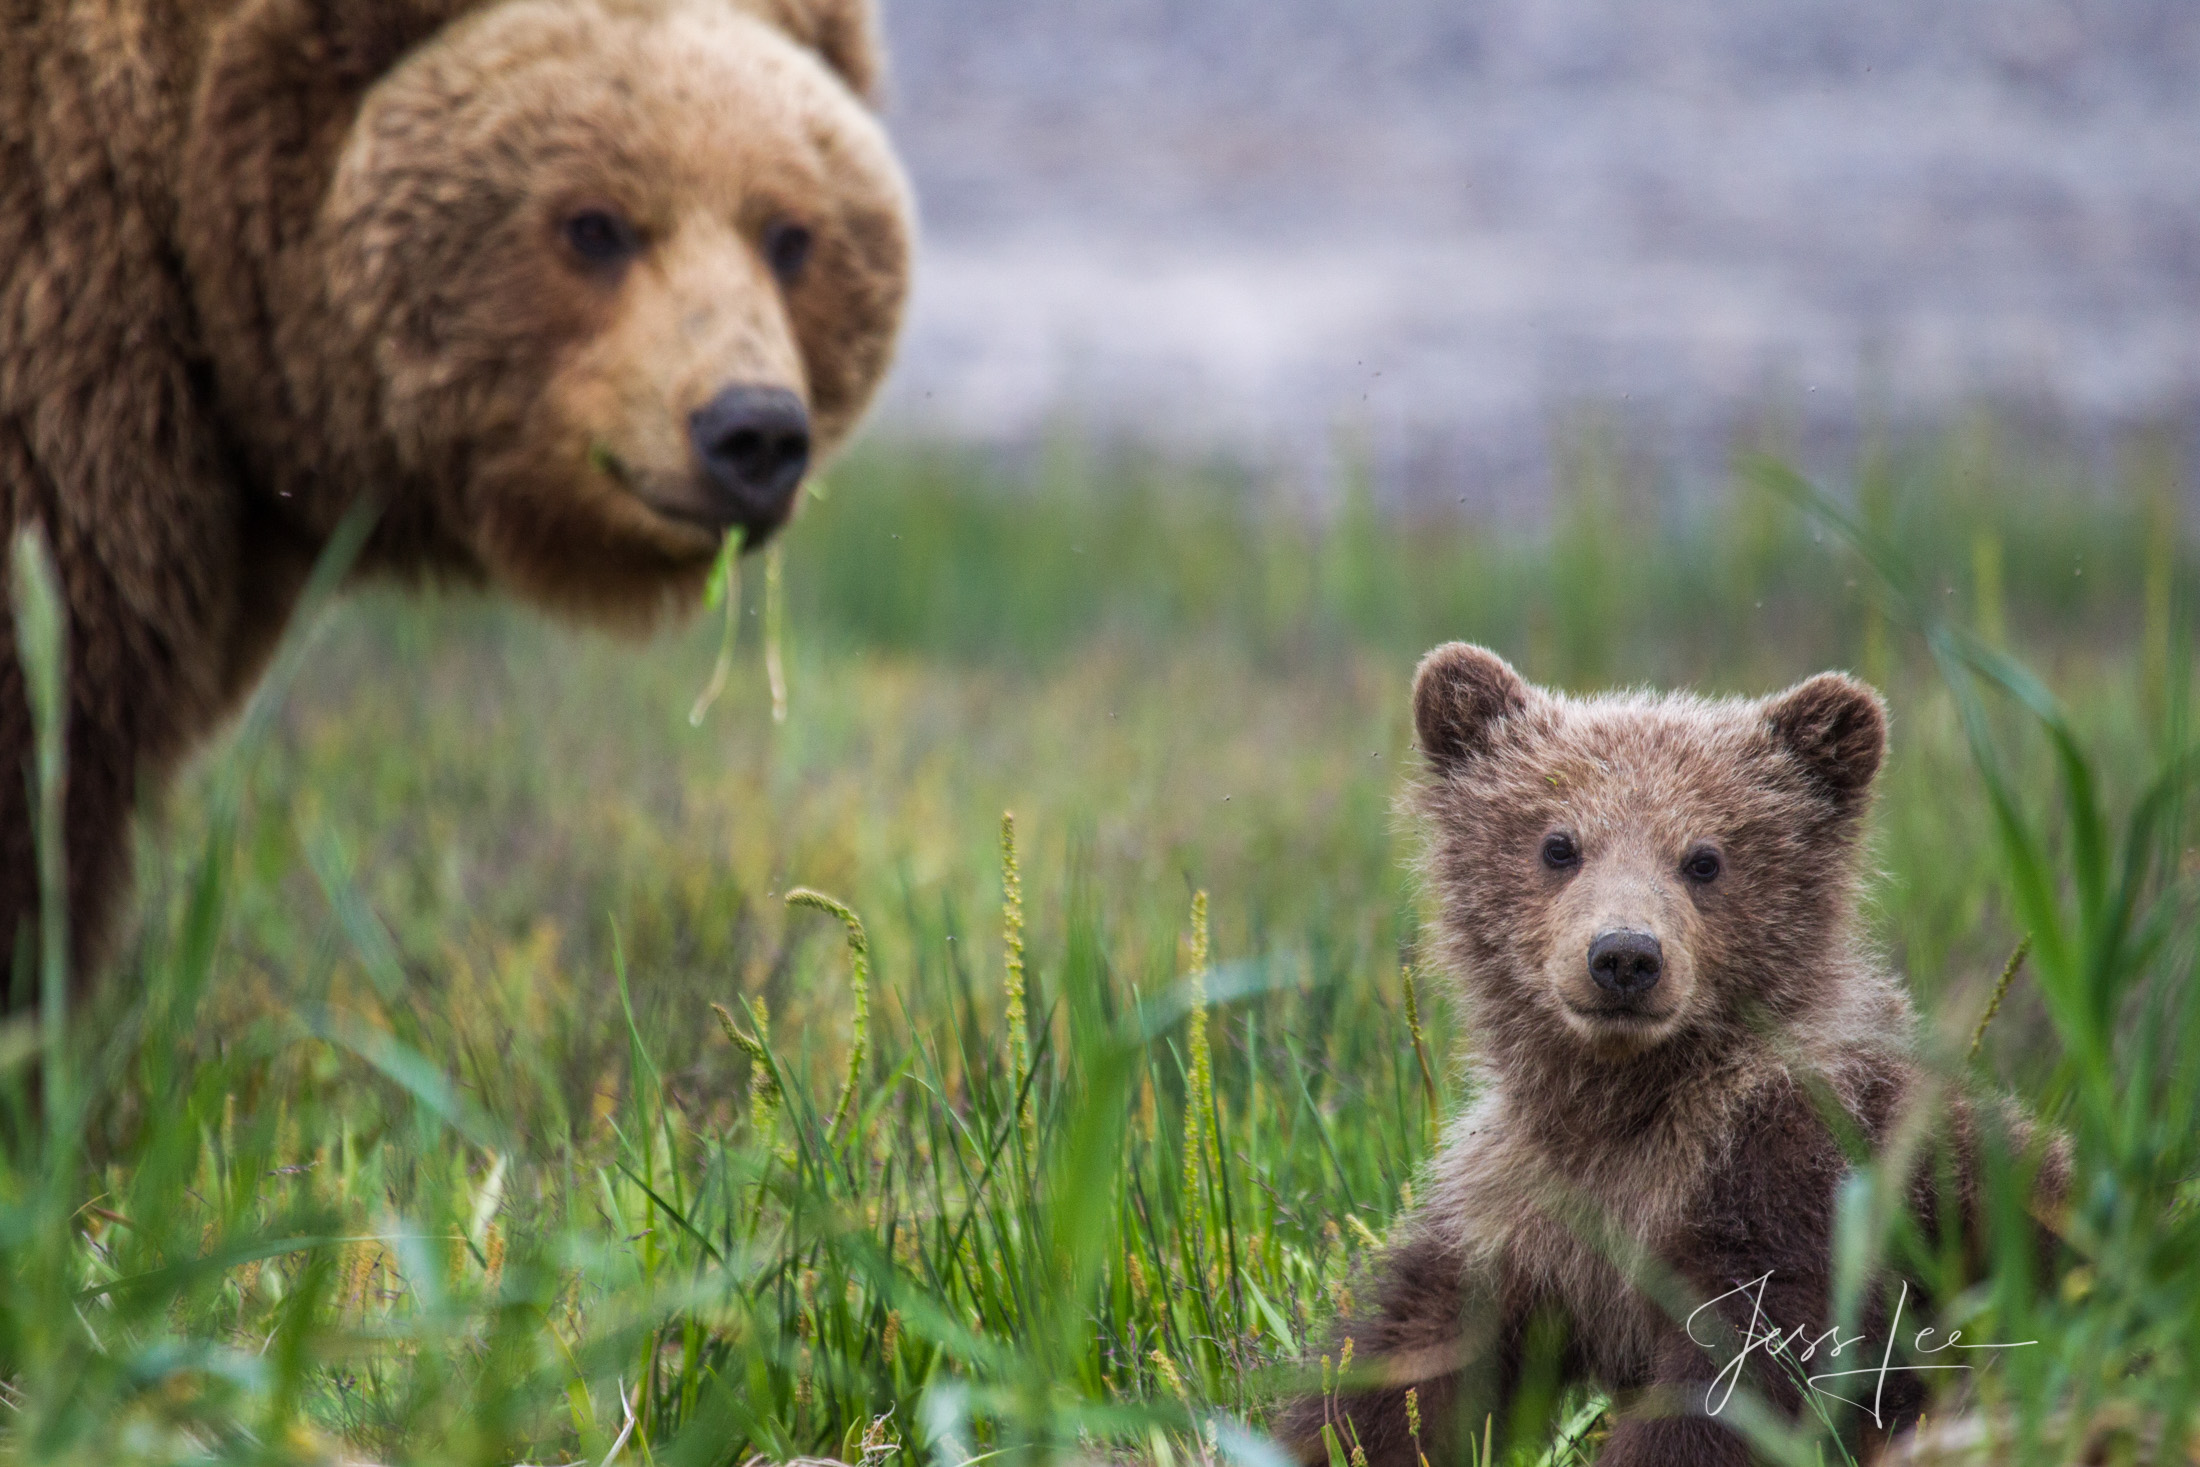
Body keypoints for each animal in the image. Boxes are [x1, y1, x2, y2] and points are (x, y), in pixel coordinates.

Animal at [1284, 651, 2068, 1467]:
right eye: (1558, 843)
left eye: (1705, 858)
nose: (1624, 955)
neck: (1627, 1099)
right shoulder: (1517, 1209)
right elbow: (1406, 1363)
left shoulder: (1788, 1180)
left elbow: (1737, 1382)